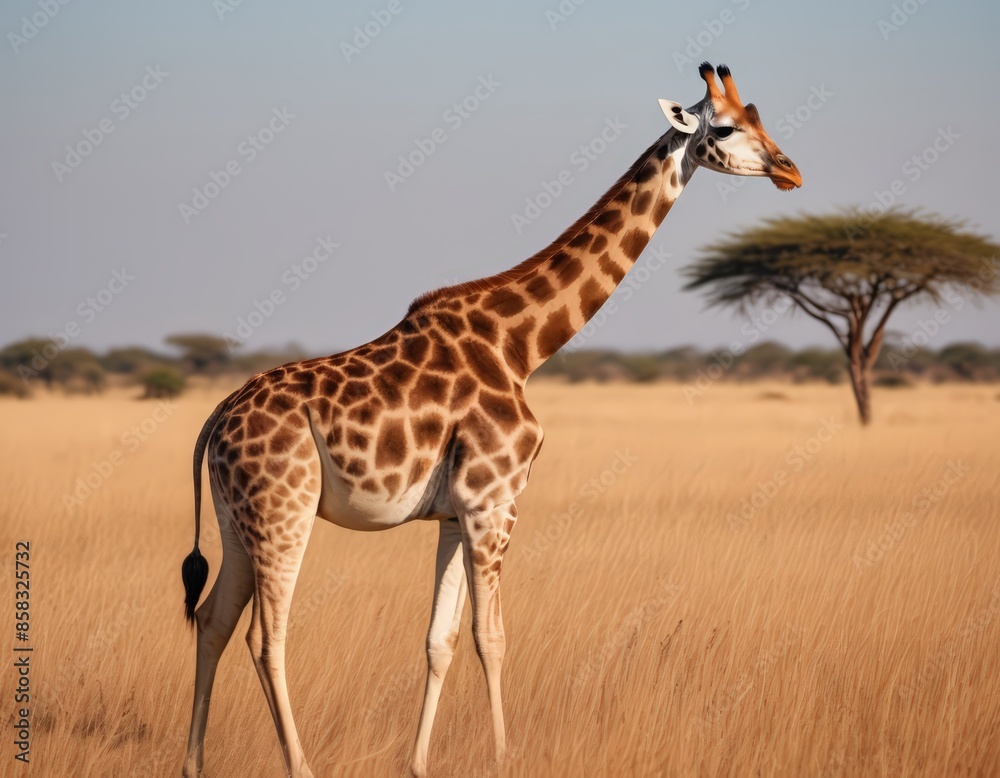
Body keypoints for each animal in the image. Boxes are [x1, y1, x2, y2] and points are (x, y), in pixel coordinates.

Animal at [180, 62, 801, 778]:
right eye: (724, 127)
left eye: (758, 115)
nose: (791, 170)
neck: (522, 346)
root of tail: (217, 418)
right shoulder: (494, 501)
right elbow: (491, 636)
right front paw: (506, 755)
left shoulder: (455, 513)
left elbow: (440, 639)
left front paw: (419, 764)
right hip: (284, 511)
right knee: (266, 636)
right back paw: (300, 767)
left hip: (238, 519)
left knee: (213, 621)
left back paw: (192, 763)